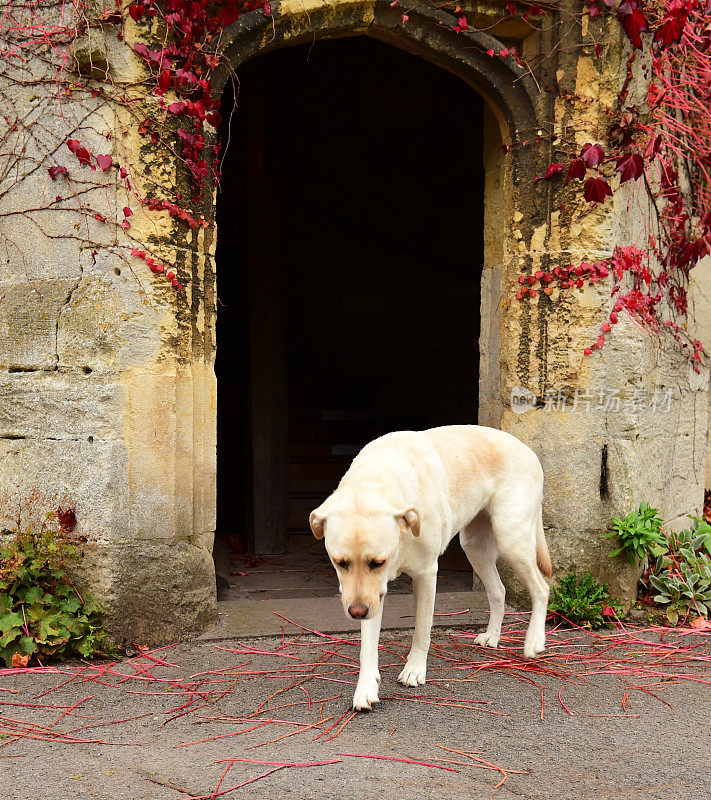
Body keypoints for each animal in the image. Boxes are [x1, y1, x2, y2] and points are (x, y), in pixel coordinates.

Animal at [310, 424, 552, 712]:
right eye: (340, 562)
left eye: (378, 562)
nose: (356, 613)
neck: (378, 476)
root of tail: (528, 450)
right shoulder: (371, 596)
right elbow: (367, 646)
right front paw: (366, 687)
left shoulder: (426, 575)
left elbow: (422, 629)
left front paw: (414, 670)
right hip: (475, 548)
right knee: (498, 592)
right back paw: (493, 636)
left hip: (511, 539)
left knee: (541, 588)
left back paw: (534, 641)